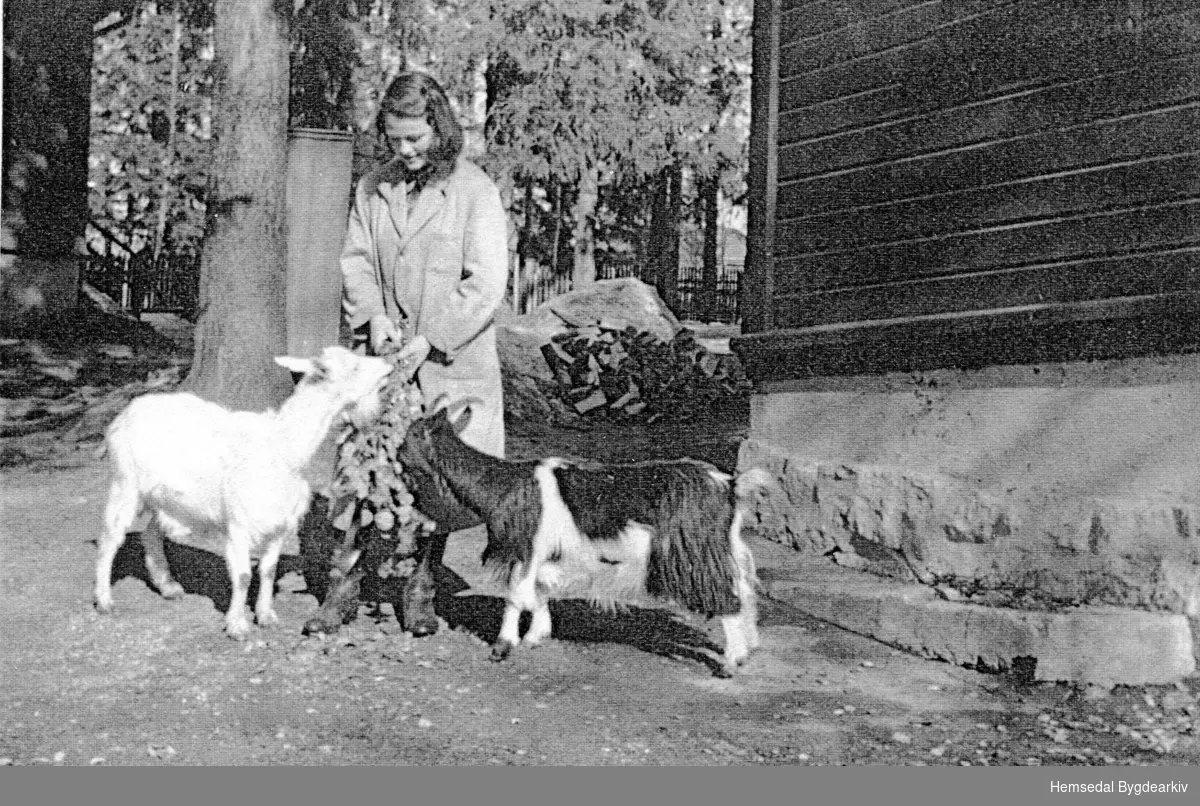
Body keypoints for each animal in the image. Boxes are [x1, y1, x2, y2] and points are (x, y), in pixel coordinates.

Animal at [96, 343, 393, 638]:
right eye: (354, 366)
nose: (388, 367)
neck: (283, 449)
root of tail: (129, 410)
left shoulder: (279, 524)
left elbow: (268, 571)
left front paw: (266, 616)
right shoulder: (239, 524)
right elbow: (242, 576)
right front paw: (237, 625)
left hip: (169, 499)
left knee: (150, 534)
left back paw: (168, 586)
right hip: (125, 483)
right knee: (110, 539)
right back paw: (104, 600)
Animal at [393, 405, 768, 676]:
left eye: (409, 436)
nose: (393, 456)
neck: (503, 484)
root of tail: (730, 485)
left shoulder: (525, 548)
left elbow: (516, 596)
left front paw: (502, 647)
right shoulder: (546, 555)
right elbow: (539, 591)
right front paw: (536, 636)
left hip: (694, 553)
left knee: (727, 598)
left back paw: (730, 663)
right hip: (723, 548)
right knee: (745, 592)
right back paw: (748, 649)